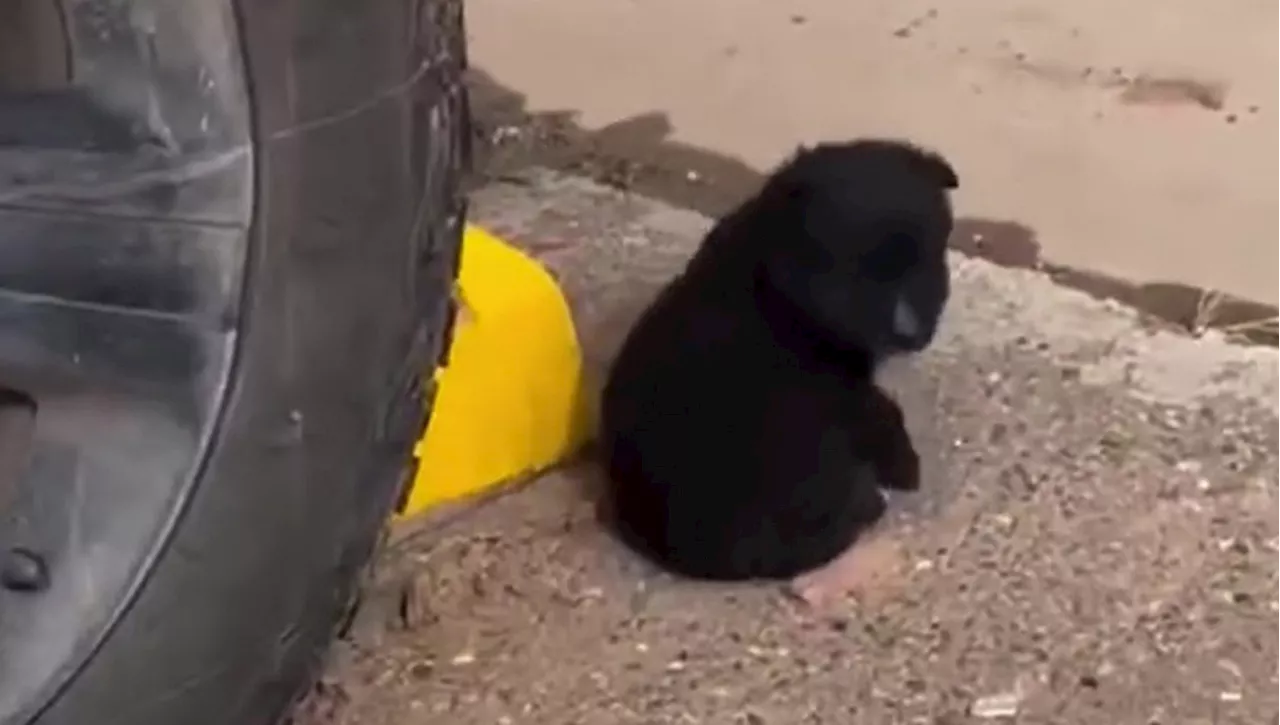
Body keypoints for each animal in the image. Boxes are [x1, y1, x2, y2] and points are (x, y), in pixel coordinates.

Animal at [599, 138, 962, 586]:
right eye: (861, 276)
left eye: (927, 262)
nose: (910, 332)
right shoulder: (842, 386)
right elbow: (882, 413)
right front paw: (906, 467)